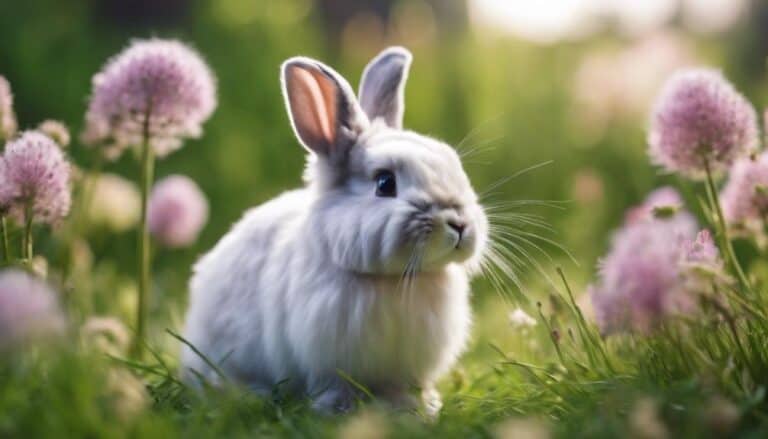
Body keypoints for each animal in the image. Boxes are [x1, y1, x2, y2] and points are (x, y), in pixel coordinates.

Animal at [181, 46, 489, 416]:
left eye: (454, 166)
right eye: (385, 183)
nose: (459, 224)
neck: (395, 279)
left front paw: (418, 408)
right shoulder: (328, 357)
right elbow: (335, 385)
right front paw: (338, 410)